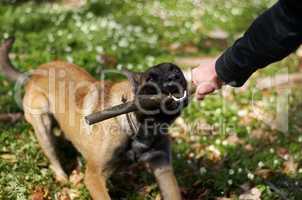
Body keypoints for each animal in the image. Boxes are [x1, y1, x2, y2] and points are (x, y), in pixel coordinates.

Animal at [0, 38, 188, 200]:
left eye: (176, 70)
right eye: (150, 78)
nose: (174, 78)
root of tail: (32, 76)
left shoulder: (163, 169)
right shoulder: (93, 177)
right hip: (43, 124)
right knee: (52, 154)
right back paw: (62, 178)